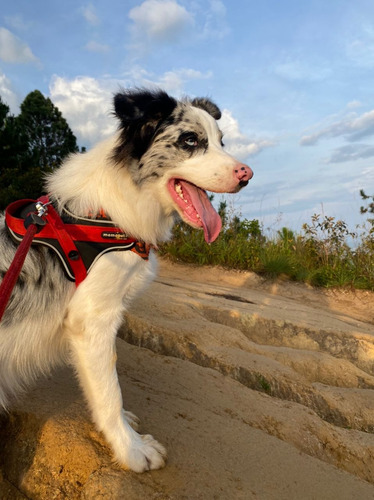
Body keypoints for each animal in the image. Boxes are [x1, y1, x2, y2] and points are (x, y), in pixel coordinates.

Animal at [0, 90, 254, 472]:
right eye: (190, 140)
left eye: (222, 142)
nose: (247, 173)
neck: (109, 216)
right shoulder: (92, 320)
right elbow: (109, 392)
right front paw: (131, 448)